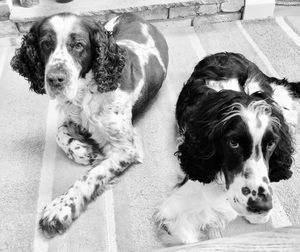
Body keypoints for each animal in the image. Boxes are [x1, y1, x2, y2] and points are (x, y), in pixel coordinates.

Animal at [9, 11, 169, 236]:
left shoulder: (125, 149)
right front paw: (85, 152)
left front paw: (61, 208)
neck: (87, 92)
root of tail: (137, 16)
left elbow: (92, 175)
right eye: (46, 44)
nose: (55, 79)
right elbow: (60, 133)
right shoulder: (76, 118)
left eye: (78, 45)